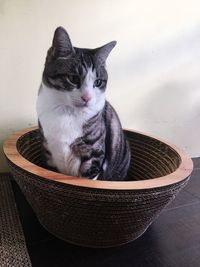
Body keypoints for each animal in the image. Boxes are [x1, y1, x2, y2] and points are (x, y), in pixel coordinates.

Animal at [36, 27, 130, 181]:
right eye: (73, 78)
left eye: (98, 82)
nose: (87, 97)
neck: (67, 112)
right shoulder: (48, 152)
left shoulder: (93, 155)